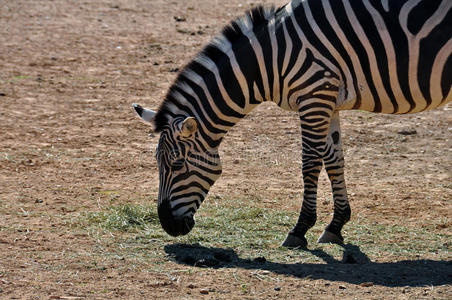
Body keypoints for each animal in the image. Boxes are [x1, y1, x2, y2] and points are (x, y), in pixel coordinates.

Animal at [132, 0, 452, 248]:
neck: (269, 59)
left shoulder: (314, 94)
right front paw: (336, 225)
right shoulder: (328, 99)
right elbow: (334, 160)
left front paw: (300, 229)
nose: (167, 225)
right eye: (158, 164)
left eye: (176, 165)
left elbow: (310, 162)